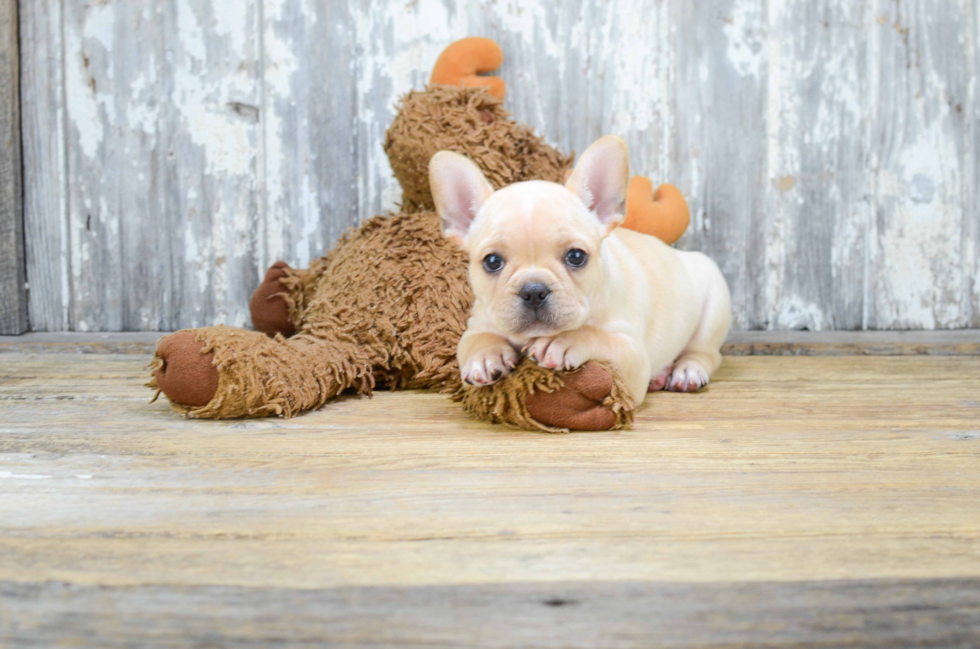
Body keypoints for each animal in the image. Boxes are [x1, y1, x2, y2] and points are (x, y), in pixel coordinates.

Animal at [428, 135, 728, 402]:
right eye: (492, 262)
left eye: (576, 257)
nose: (533, 291)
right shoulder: (478, 323)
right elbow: (474, 340)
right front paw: (484, 356)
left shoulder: (633, 356)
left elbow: (597, 336)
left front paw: (563, 342)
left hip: (713, 307)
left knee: (706, 353)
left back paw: (687, 370)